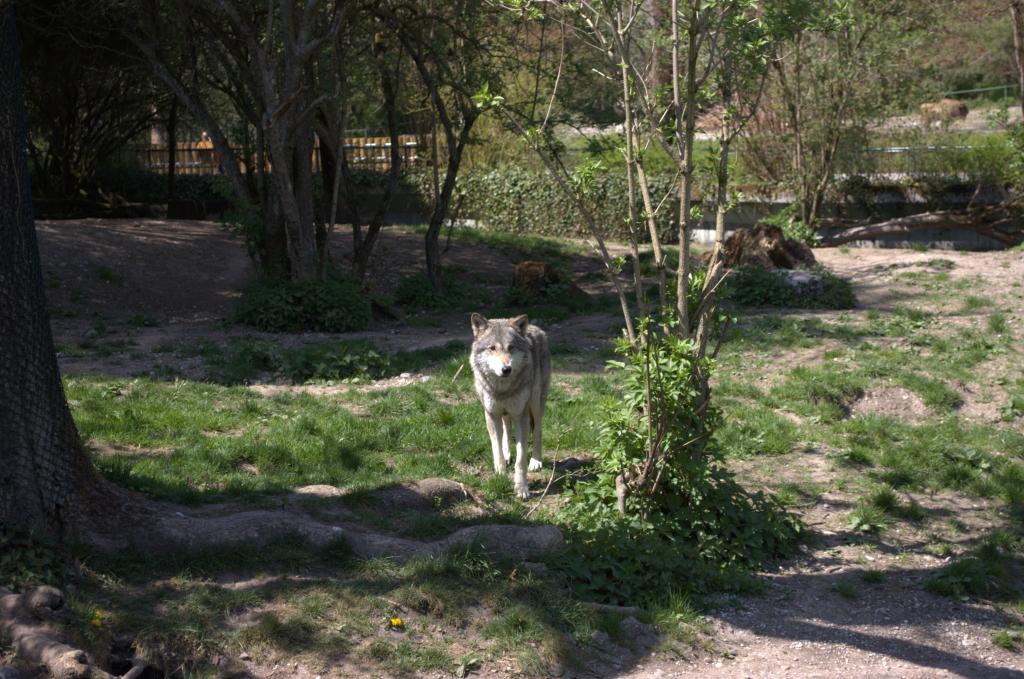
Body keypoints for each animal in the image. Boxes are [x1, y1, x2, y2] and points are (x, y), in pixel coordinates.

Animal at [470, 313, 551, 499]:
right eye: (492, 348)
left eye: (511, 347)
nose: (506, 369)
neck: (502, 390)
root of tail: (535, 327)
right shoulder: (491, 414)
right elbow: (496, 449)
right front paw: (500, 474)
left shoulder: (521, 416)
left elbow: (521, 459)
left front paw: (522, 488)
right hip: (505, 412)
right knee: (507, 428)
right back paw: (508, 454)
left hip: (535, 404)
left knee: (538, 430)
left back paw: (536, 461)